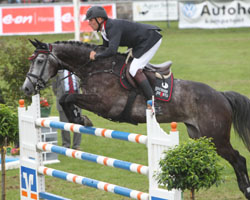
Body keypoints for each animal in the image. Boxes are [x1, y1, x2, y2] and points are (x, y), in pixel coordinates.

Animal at [22, 39, 250, 198]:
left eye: (40, 61)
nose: (26, 88)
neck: (95, 67)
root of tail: (221, 95)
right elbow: (65, 99)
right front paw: (80, 119)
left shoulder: (105, 104)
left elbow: (67, 97)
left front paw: (81, 119)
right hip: (200, 136)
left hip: (217, 138)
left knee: (238, 159)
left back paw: (246, 189)